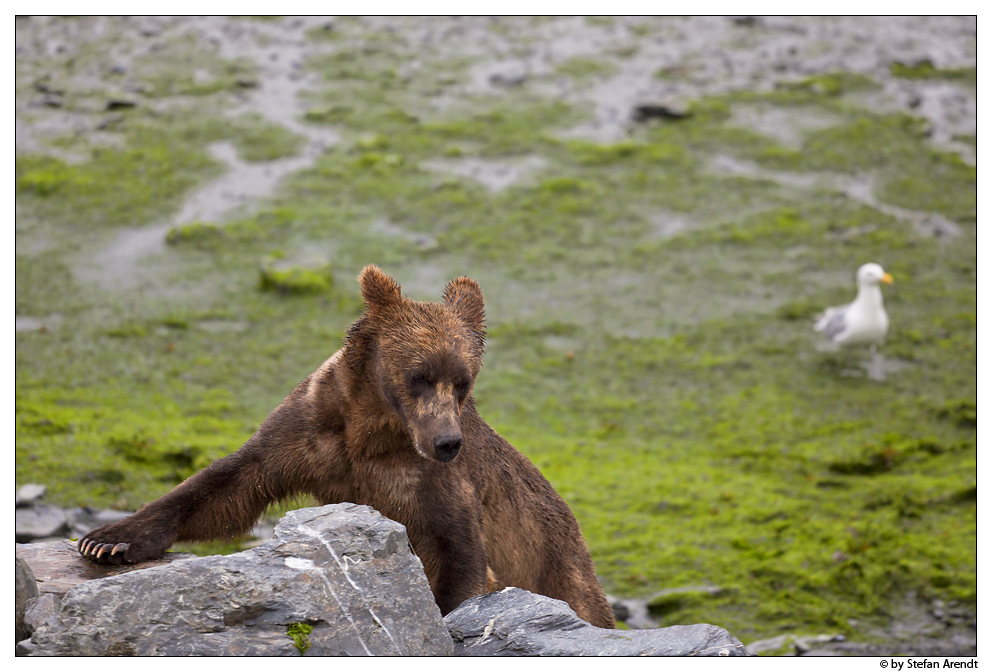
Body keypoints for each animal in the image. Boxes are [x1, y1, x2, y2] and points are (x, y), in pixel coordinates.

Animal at [79, 264, 612, 632]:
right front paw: (108, 539)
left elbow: (461, 554)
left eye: (462, 382)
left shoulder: (436, 485)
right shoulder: (310, 437)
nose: (446, 441)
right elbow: (228, 485)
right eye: (419, 376)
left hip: (563, 570)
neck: (372, 431)